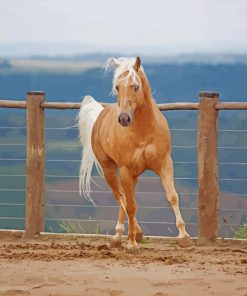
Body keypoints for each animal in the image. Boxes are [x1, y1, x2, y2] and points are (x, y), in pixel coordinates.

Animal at [78, 56, 190, 249]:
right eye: (117, 86)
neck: (143, 130)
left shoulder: (165, 163)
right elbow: (130, 206)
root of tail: (101, 113)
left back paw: (123, 235)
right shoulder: (124, 169)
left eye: (136, 86)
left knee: (125, 198)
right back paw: (128, 234)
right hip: (110, 170)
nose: (124, 119)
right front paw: (131, 243)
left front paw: (184, 236)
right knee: (121, 198)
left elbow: (172, 196)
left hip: (134, 175)